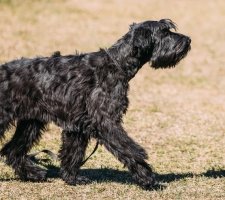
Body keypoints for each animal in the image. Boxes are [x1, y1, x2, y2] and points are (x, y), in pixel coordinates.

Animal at [0, 19, 191, 189]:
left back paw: (33, 173)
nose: (188, 40)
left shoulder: (77, 126)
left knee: (12, 150)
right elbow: (129, 149)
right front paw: (148, 180)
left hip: (31, 123)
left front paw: (72, 179)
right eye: (164, 32)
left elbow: (72, 153)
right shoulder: (105, 121)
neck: (117, 64)